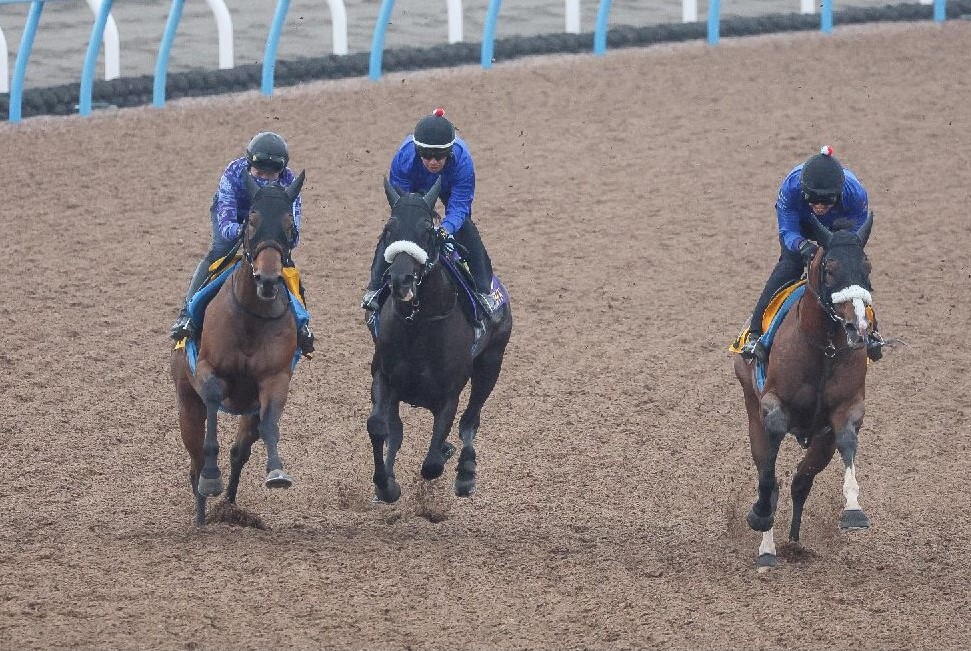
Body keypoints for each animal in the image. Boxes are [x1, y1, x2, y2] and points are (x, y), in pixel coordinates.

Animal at [171, 172, 306, 524]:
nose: (268, 278)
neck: (251, 318)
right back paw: (202, 514)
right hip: (186, 402)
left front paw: (276, 472)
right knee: (194, 461)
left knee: (239, 452)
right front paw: (211, 478)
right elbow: (214, 398)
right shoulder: (207, 369)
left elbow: (270, 423)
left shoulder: (275, 379)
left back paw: (229, 507)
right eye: (251, 221)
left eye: (289, 224)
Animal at [366, 178, 516, 504]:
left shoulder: (448, 396)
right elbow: (380, 428)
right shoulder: (384, 379)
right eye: (388, 229)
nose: (400, 279)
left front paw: (447, 455)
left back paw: (465, 471)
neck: (419, 326)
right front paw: (386, 485)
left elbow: (432, 463)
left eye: (427, 230)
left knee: (470, 420)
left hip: (492, 362)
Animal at [732, 214, 876, 572]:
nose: (859, 328)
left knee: (801, 481)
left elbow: (847, 440)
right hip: (750, 404)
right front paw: (760, 516)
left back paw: (794, 542)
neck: (824, 349)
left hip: (821, 443)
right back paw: (767, 547)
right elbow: (769, 470)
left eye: (867, 268)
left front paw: (854, 511)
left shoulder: (847, 409)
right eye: (830, 269)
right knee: (768, 472)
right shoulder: (771, 405)